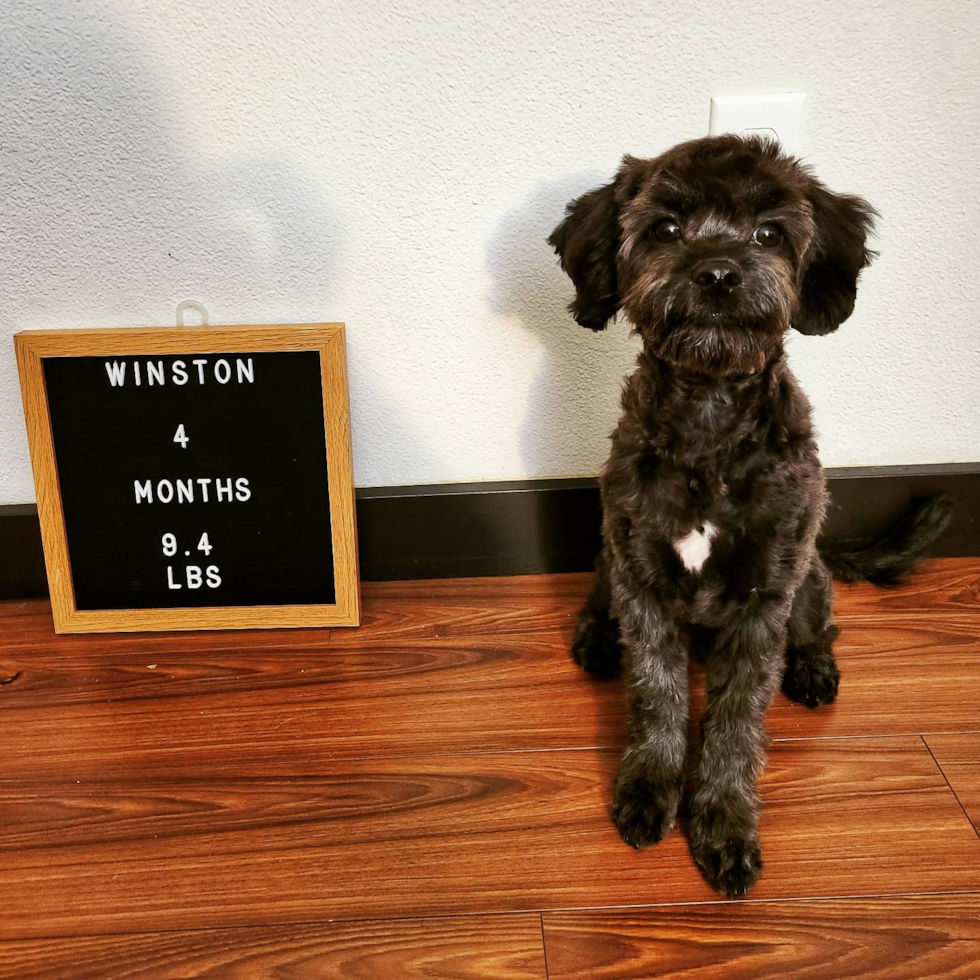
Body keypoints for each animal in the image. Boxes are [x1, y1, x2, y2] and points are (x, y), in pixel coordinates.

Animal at [552, 136, 948, 896]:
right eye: (665, 228)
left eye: (769, 233)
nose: (717, 274)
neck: (709, 423)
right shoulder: (641, 578)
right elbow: (657, 696)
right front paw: (649, 790)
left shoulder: (764, 599)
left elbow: (737, 721)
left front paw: (725, 826)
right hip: (609, 557)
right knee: (596, 595)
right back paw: (595, 638)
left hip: (809, 577)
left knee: (823, 627)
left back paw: (814, 671)